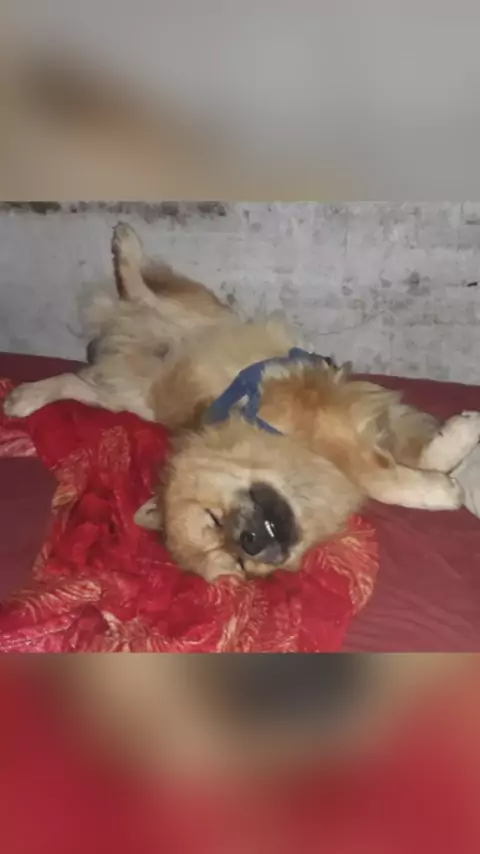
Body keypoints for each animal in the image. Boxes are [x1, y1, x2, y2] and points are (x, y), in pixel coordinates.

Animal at [4, 223, 480, 583]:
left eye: (214, 519)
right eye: (238, 564)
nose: (250, 543)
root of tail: (123, 344)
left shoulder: (328, 417)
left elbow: (386, 470)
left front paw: (450, 452)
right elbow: (388, 472)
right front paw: (444, 473)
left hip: (191, 320)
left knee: (139, 292)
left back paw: (126, 245)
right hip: (128, 398)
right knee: (78, 379)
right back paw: (25, 398)